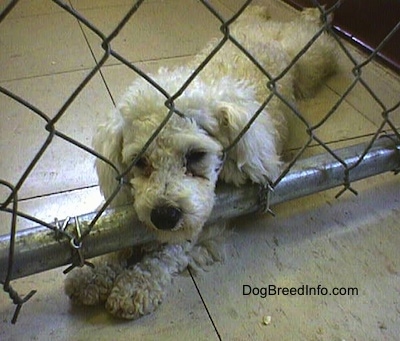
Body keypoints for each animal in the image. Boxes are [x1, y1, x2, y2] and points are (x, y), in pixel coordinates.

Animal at [65, 5, 338, 318]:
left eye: (196, 155)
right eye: (139, 161)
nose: (164, 216)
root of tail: (264, 26)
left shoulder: (214, 210)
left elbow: (171, 249)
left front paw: (137, 283)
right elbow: (115, 244)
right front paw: (95, 273)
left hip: (310, 57)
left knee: (316, 39)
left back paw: (314, 15)